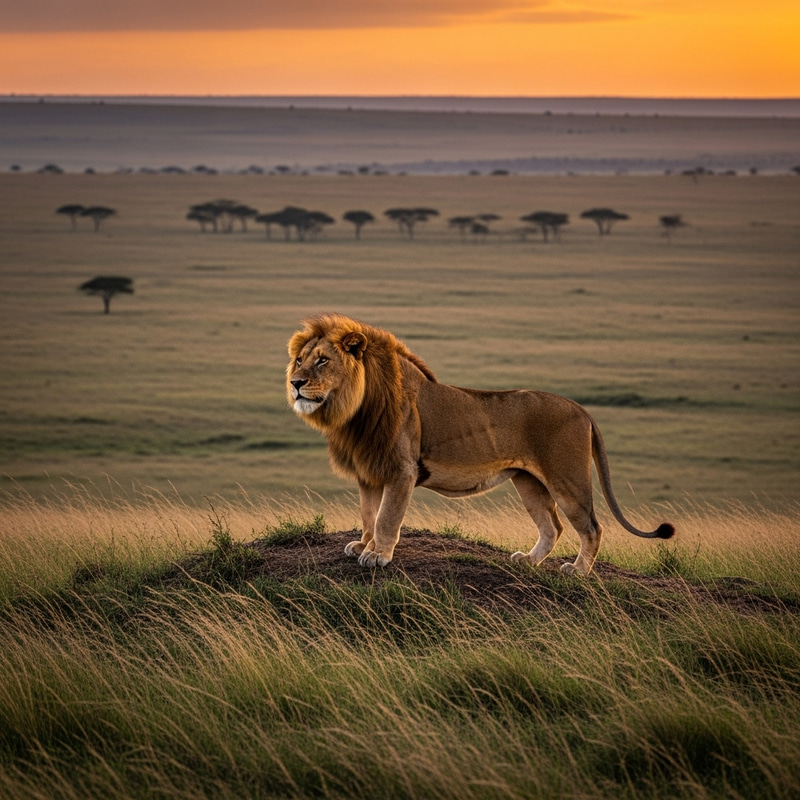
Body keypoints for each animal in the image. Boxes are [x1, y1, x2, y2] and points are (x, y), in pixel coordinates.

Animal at [287, 313, 674, 575]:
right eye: (299, 360)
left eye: (323, 361)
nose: (295, 383)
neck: (356, 409)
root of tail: (581, 409)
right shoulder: (369, 471)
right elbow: (369, 514)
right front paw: (362, 545)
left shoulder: (401, 471)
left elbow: (386, 518)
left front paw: (378, 555)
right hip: (528, 482)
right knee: (552, 527)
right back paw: (528, 560)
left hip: (567, 478)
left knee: (592, 526)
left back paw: (578, 572)